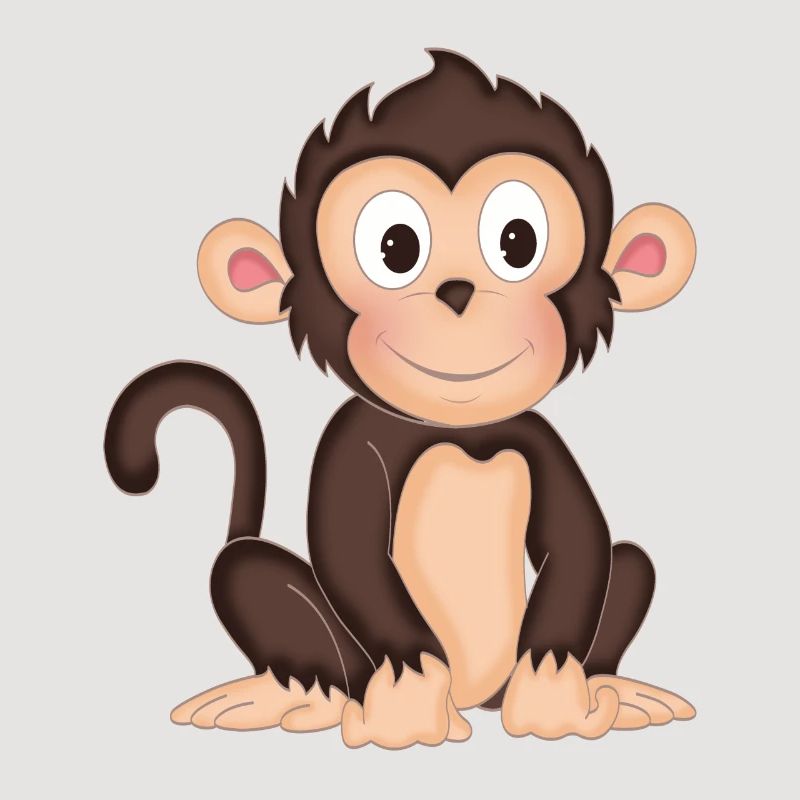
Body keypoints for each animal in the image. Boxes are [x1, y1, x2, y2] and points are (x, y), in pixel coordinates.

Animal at [105, 50, 697, 748]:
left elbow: (580, 542)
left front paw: (552, 691)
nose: (457, 291)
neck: (459, 431)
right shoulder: (355, 439)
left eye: (518, 241)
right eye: (395, 246)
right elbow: (353, 554)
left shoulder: (541, 441)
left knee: (628, 560)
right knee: (248, 570)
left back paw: (613, 690)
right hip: (328, 646)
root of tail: (477, 701)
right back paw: (295, 698)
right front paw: (408, 699)